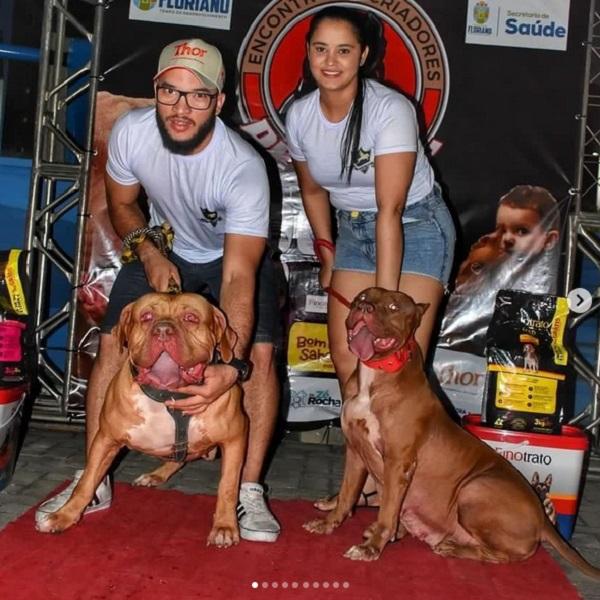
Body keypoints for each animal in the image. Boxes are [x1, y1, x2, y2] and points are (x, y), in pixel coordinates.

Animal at [36, 292, 247, 548]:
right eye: (146, 316)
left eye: (191, 318)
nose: (163, 330)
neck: (168, 397)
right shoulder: (106, 439)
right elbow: (86, 481)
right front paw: (63, 516)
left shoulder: (235, 439)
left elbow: (228, 486)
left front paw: (224, 527)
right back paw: (155, 475)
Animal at [304, 288, 600, 580]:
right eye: (363, 297)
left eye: (393, 307)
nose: (364, 308)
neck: (376, 375)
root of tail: (542, 515)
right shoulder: (356, 451)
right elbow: (347, 495)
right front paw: (329, 524)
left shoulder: (398, 463)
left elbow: (387, 512)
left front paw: (371, 548)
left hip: (474, 488)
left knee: (506, 554)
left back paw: (449, 547)